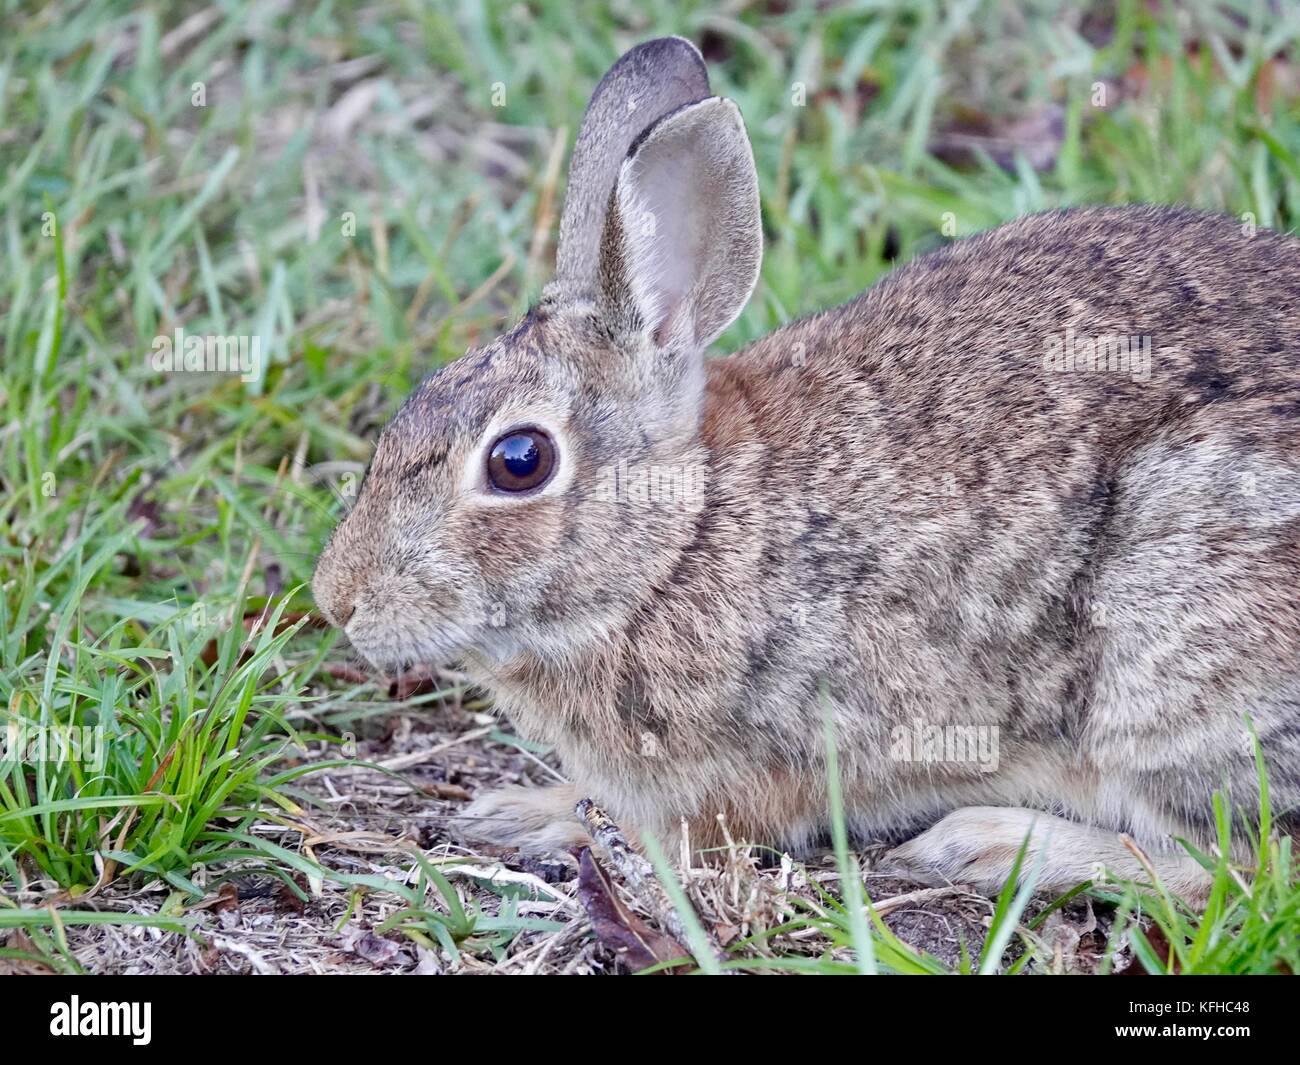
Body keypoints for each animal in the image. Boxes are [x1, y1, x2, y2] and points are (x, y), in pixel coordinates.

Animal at [313, 36, 1300, 899]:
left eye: (519, 460)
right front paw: (517, 807)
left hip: (1169, 654)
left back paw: (988, 845)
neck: (683, 540)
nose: (338, 600)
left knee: (1243, 869)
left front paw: (543, 818)